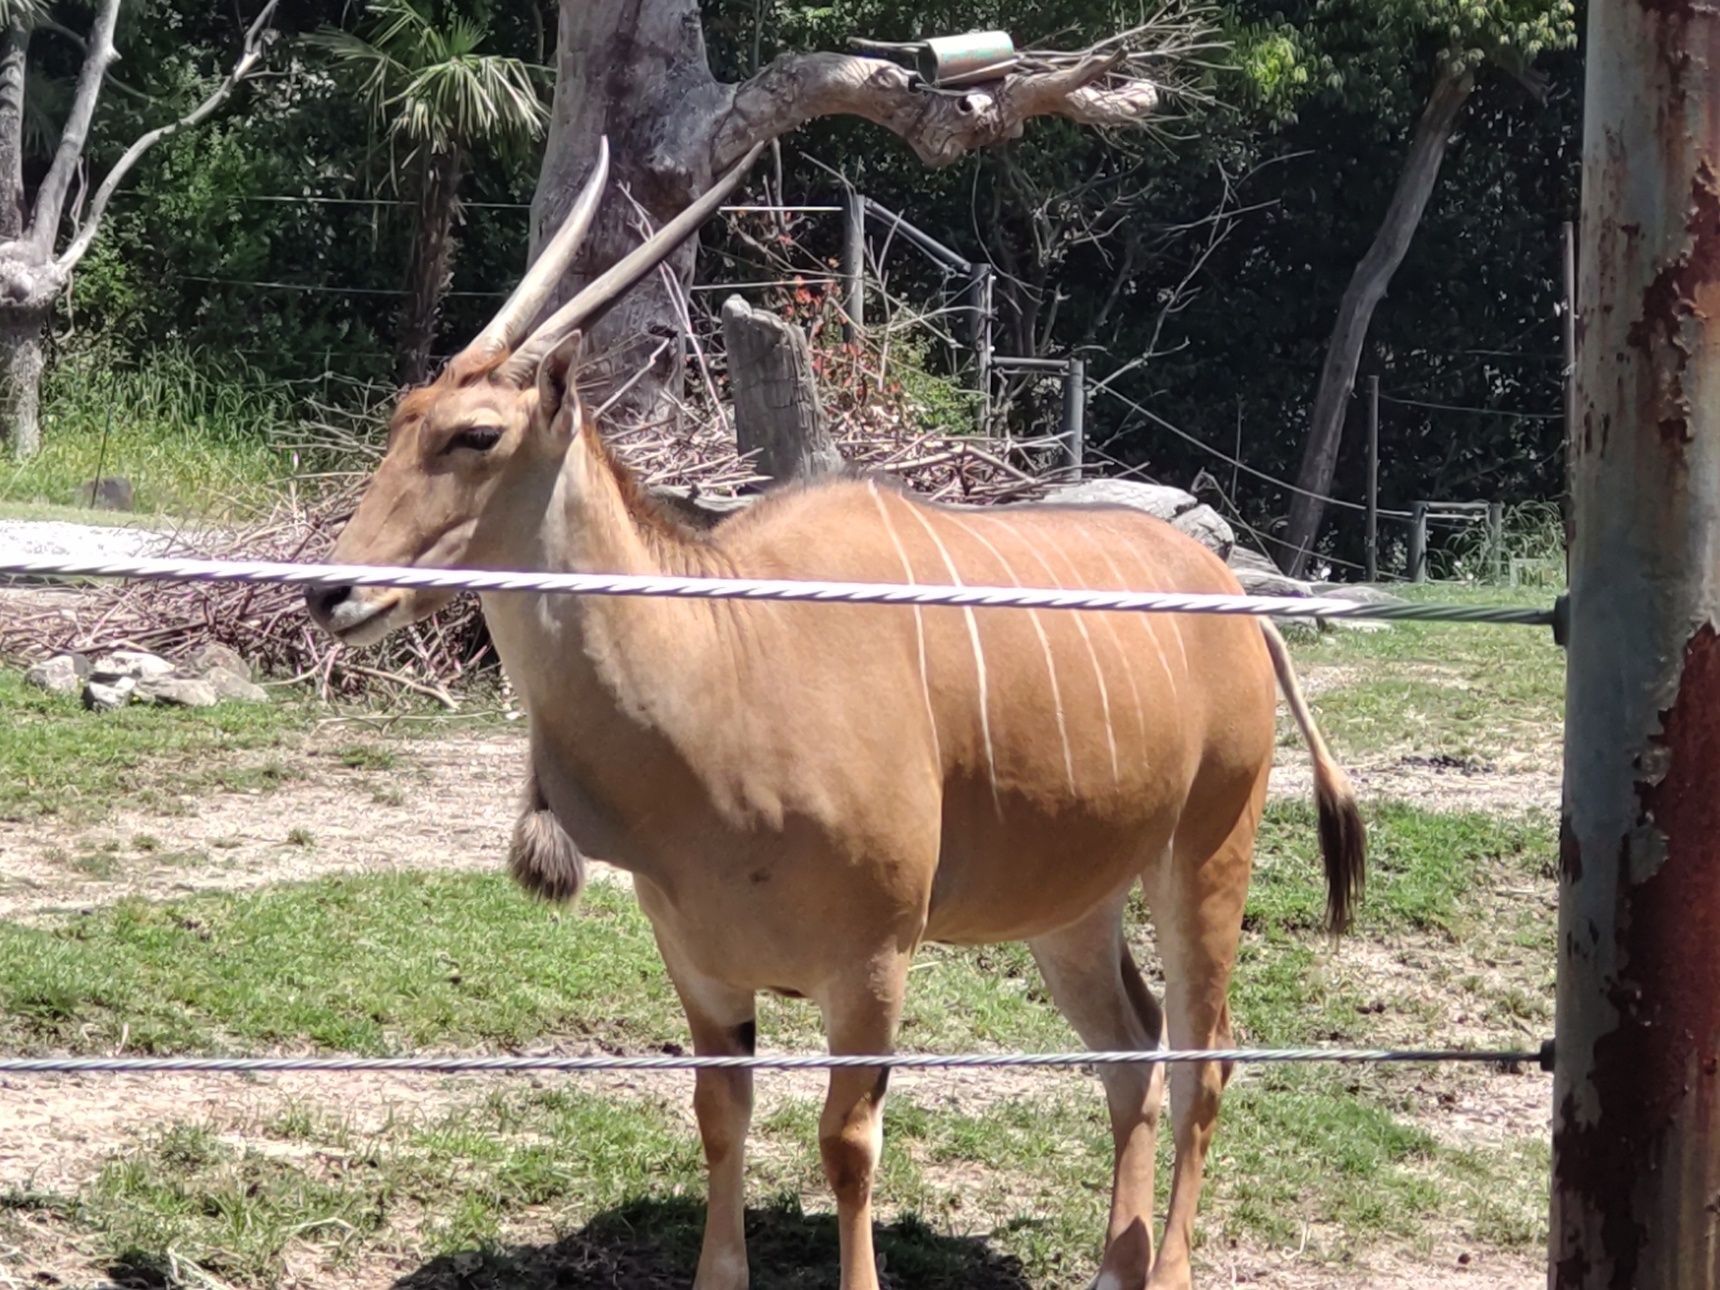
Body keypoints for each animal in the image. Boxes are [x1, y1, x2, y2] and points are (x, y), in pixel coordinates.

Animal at [306, 139, 1355, 1290]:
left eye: (476, 434)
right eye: (402, 419)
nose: (328, 594)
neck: (725, 660)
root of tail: (1237, 605)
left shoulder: (872, 967)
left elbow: (847, 1144)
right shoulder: (703, 967)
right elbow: (720, 1115)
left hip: (1208, 855)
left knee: (1205, 1057)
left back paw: (1160, 1267)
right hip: (1074, 904)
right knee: (1133, 1050)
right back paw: (1112, 1267)